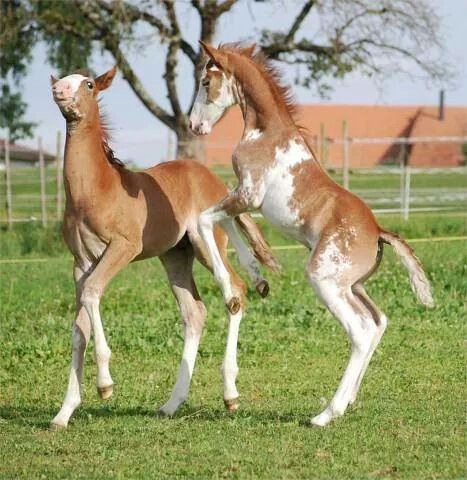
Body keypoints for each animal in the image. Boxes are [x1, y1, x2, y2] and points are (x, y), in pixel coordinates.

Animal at [50, 66, 282, 428]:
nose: (59, 91)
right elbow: (79, 329)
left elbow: (92, 293)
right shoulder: (80, 262)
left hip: (206, 245)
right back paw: (172, 403)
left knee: (235, 290)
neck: (95, 190)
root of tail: (216, 182)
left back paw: (230, 394)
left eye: (87, 84)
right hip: (175, 256)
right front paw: (64, 412)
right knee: (194, 312)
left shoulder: (123, 247)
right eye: (61, 78)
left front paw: (105, 385)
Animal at [190, 44, 436, 428]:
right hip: (353, 285)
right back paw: (348, 400)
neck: (266, 132)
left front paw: (233, 284)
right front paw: (258, 275)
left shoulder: (248, 194)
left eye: (205, 81)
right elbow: (230, 224)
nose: (193, 125)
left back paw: (326, 413)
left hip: (324, 279)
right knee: (378, 321)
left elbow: (206, 219)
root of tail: (378, 231)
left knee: (360, 331)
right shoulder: (240, 196)